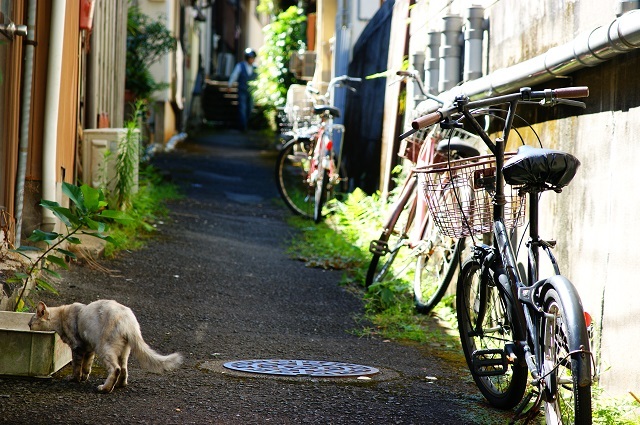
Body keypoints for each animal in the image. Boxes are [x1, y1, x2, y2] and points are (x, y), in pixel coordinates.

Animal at [30, 298, 185, 390]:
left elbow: (76, 366)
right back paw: (120, 385)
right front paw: (84, 377)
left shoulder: (77, 347)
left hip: (104, 347)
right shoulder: (89, 348)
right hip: (123, 351)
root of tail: (129, 320)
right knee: (124, 369)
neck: (61, 316)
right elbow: (87, 365)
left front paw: (75, 379)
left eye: (30, 324)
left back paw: (104, 389)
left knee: (115, 369)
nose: (29, 328)